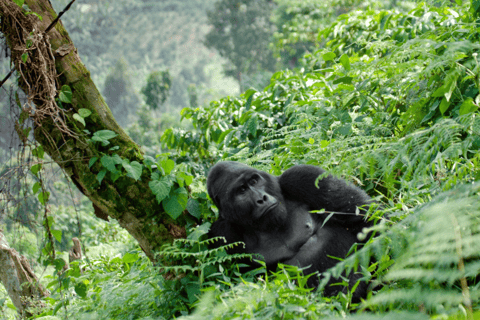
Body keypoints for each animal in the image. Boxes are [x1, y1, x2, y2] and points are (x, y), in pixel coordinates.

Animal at [206, 161, 376, 298]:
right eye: (241, 191)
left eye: (254, 181)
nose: (262, 198)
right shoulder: (223, 233)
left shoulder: (302, 177)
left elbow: (365, 217)